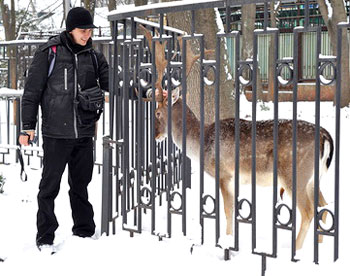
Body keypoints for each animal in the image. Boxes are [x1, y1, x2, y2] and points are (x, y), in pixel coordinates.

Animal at [139, 25, 334, 250]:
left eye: (157, 112)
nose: (155, 135)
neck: (202, 143)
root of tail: (326, 136)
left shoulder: (224, 173)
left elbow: (228, 210)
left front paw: (226, 241)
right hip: (313, 177)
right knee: (324, 207)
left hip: (295, 173)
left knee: (309, 211)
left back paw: (296, 249)